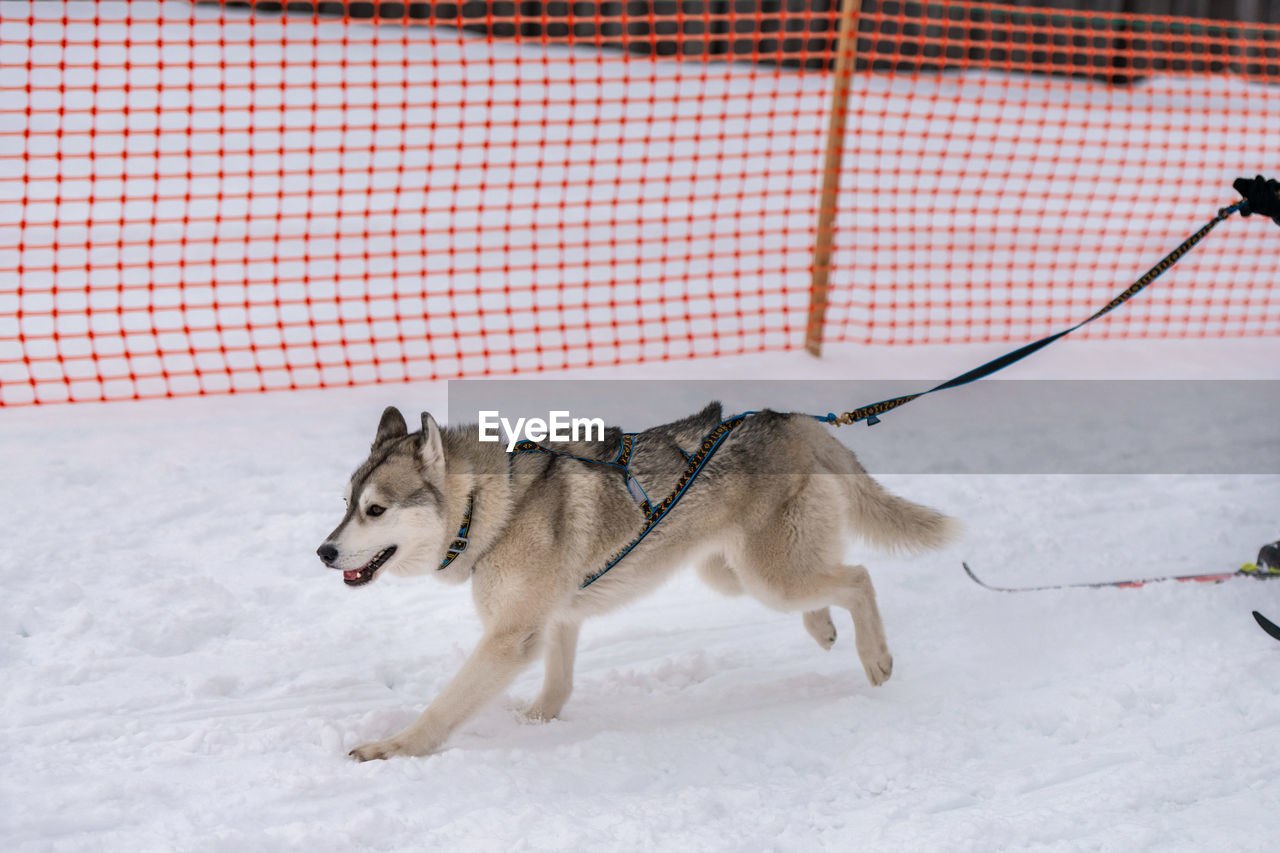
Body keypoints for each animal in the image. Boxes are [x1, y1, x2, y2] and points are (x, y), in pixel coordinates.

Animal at [320, 404, 962, 758]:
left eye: (376, 510)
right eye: (346, 503)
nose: (324, 552)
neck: (489, 507)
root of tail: (792, 422)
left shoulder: (510, 638)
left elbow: (443, 708)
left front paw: (395, 748)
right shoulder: (556, 620)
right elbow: (556, 687)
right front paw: (536, 722)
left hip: (767, 575)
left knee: (858, 577)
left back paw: (875, 659)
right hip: (733, 572)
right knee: (831, 580)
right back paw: (823, 629)